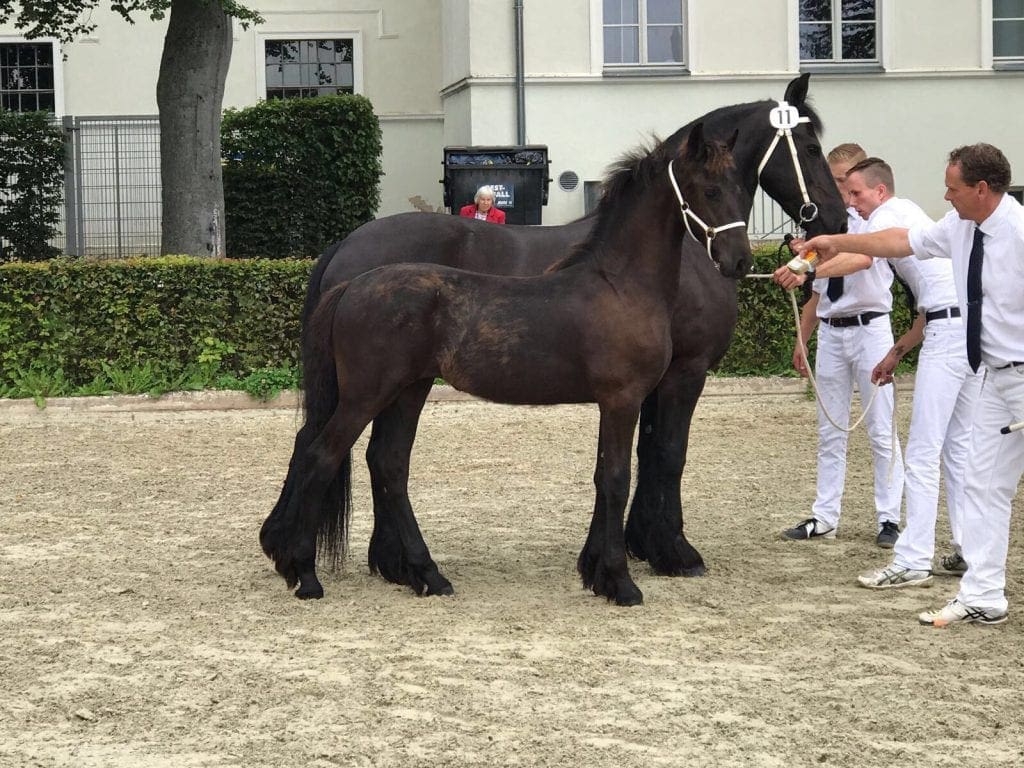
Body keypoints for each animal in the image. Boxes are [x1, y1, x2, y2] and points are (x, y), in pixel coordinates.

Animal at [261, 74, 847, 589]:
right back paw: (306, 570)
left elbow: (635, 463)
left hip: (407, 390)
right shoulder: (665, 380)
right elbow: (646, 464)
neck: (622, 279)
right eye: (810, 146)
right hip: (371, 392)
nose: (835, 220)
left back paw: (412, 570)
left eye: (734, 186)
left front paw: (623, 556)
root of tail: (350, 272)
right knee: (321, 452)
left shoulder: (646, 388)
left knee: (383, 462)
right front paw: (649, 564)